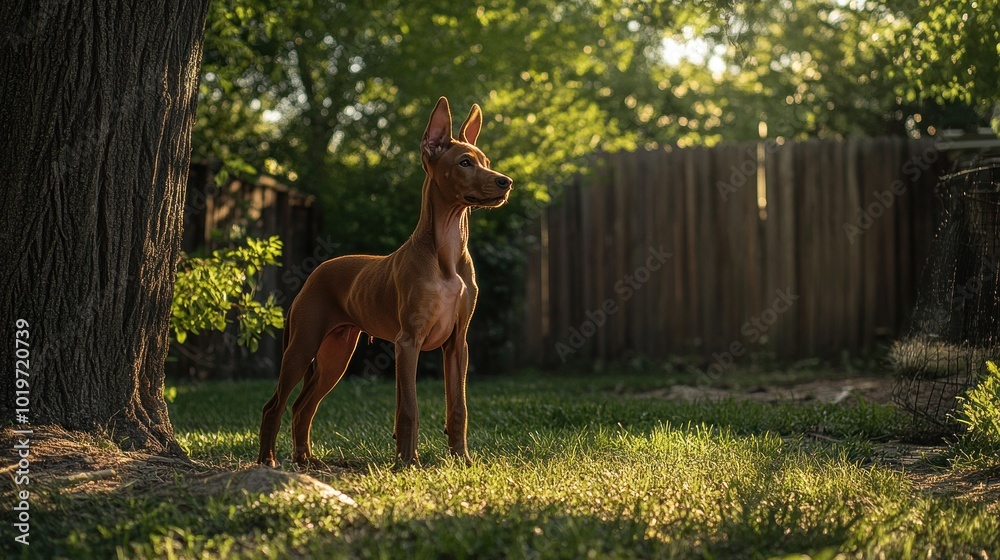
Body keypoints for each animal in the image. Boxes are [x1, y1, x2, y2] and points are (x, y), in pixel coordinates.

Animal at [258, 97, 512, 468]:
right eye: (465, 163)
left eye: (487, 163)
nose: (506, 182)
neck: (447, 253)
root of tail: (315, 273)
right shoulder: (408, 341)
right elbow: (409, 408)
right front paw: (407, 462)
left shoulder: (457, 344)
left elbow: (458, 408)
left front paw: (461, 459)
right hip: (302, 345)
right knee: (274, 405)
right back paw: (268, 461)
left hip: (336, 354)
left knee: (302, 406)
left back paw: (306, 459)